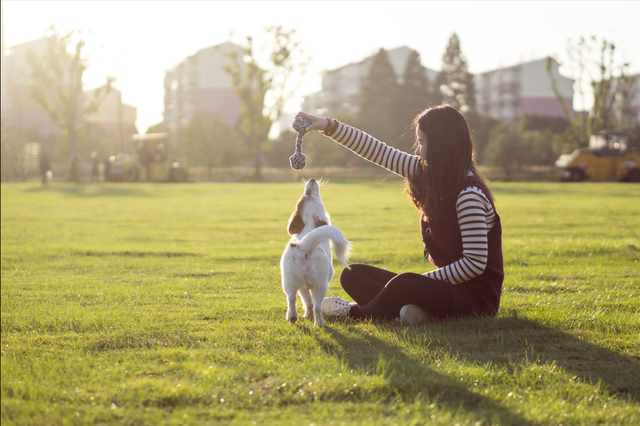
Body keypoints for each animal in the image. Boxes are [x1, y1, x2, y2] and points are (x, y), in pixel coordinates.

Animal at [280, 179, 350, 326]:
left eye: (305, 195)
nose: (312, 180)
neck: (309, 228)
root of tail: (305, 246)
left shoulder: (302, 286)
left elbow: (307, 301)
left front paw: (307, 315)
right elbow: (311, 303)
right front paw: (310, 316)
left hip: (288, 281)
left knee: (291, 298)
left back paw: (292, 317)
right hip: (320, 285)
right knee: (317, 306)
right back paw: (319, 324)